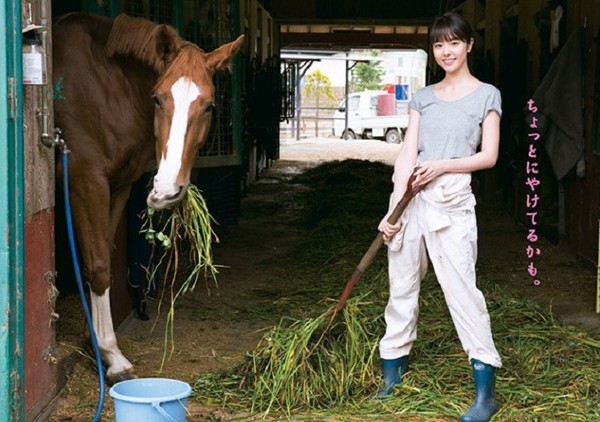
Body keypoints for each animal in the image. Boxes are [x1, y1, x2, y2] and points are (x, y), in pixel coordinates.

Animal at [53, 14, 244, 382]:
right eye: (157, 98)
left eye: (210, 106)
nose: (166, 191)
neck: (106, 85)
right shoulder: (86, 181)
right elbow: (98, 264)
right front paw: (112, 357)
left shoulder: (119, 186)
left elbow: (102, 257)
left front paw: (95, 342)